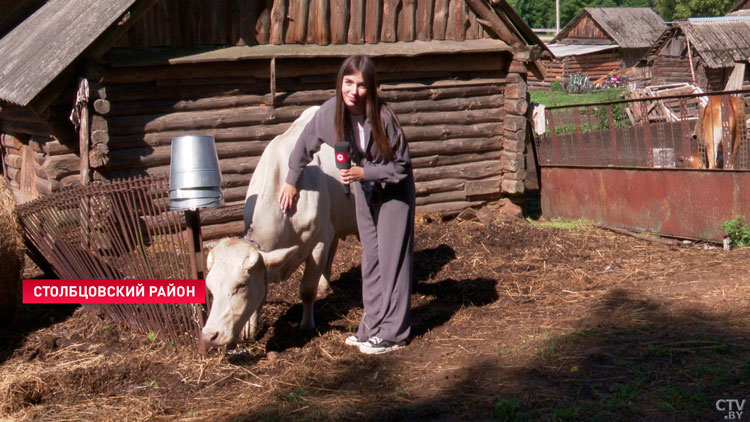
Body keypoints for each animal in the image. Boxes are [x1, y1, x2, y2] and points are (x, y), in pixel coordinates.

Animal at [203, 105, 358, 346]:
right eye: (209, 287)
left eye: (240, 285)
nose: (210, 336)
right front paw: (250, 328)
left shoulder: (319, 241)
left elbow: (306, 289)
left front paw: (306, 325)